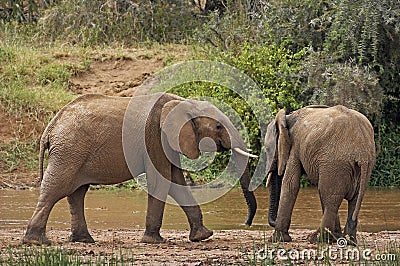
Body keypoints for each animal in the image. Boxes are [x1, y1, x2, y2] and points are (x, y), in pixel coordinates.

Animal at [23, 92, 258, 244]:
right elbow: (161, 182)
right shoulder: (155, 137)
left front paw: (202, 236)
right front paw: (153, 241)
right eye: (218, 126)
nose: (246, 223)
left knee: (76, 193)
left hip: (73, 152)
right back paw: (37, 242)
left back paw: (85, 241)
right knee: (56, 188)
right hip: (69, 151)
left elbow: (176, 183)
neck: (183, 103)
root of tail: (51, 125)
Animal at [264, 105, 376, 244]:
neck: (287, 118)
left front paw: (277, 239)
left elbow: (290, 184)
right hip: (360, 166)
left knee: (330, 199)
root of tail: (362, 153)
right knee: (349, 200)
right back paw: (346, 240)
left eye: (267, 149)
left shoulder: (295, 146)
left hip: (335, 163)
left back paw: (317, 239)